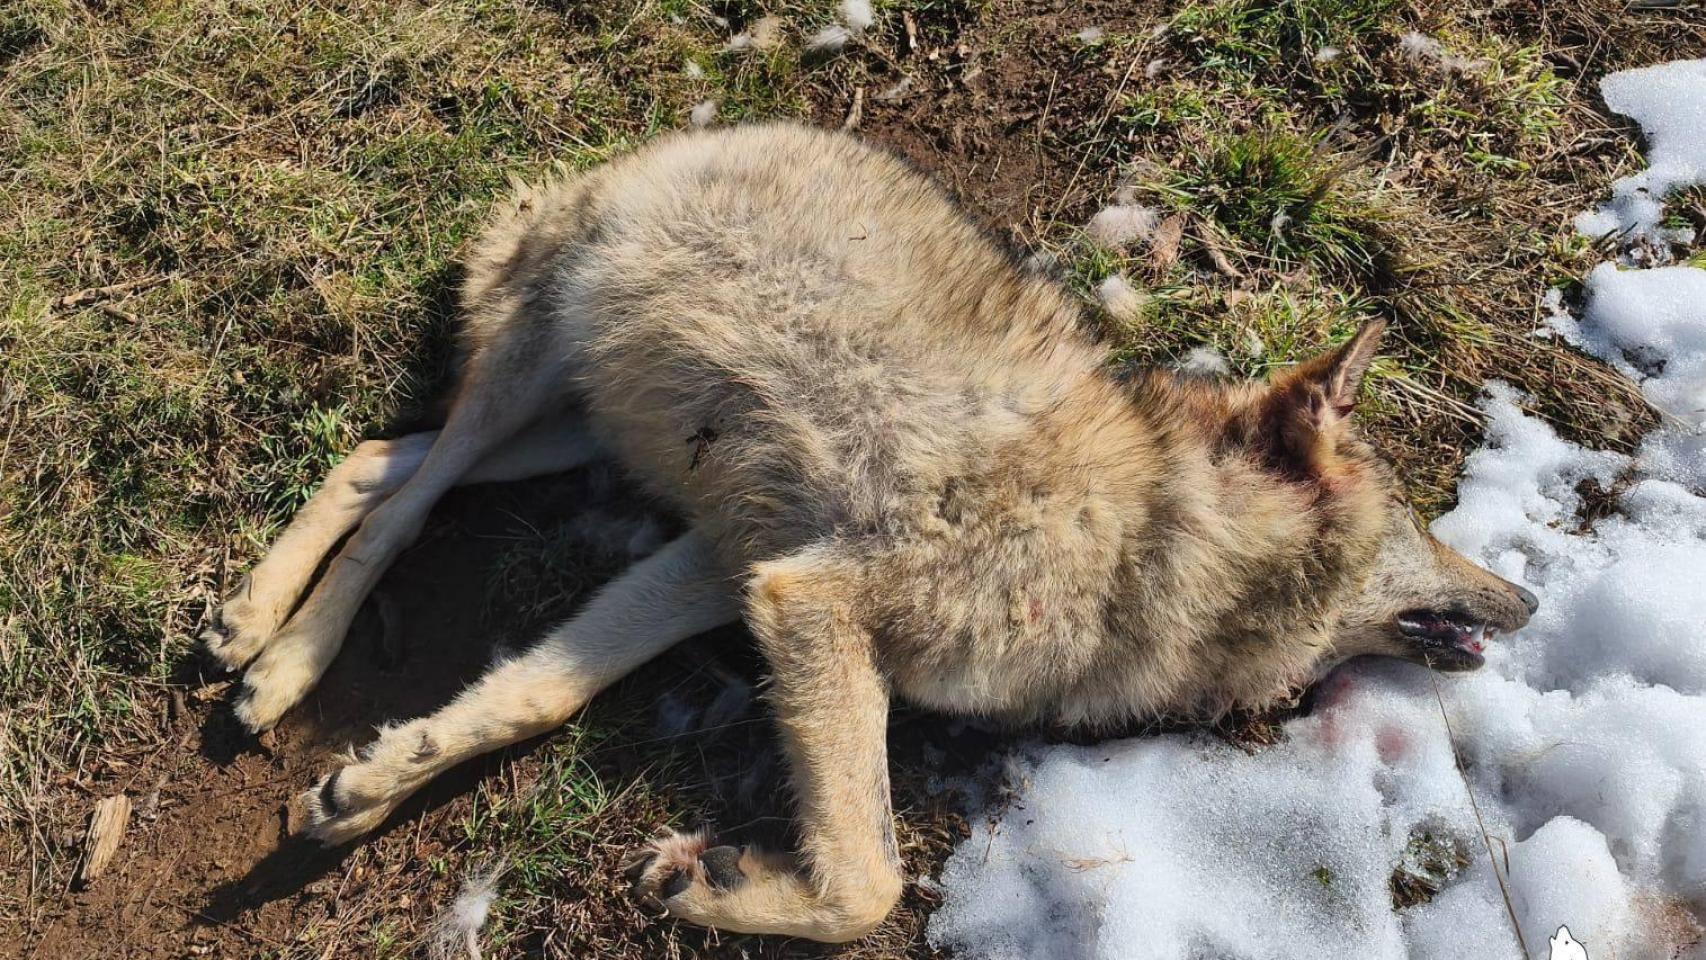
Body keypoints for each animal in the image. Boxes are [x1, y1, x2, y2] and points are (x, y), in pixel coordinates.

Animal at [202, 122, 1537, 941]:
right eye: (1420, 526)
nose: (1529, 601)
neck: (1143, 538)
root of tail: (694, 137)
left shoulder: (730, 566)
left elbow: (531, 695)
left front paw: (374, 783)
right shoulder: (811, 602)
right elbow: (868, 883)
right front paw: (711, 889)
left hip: (577, 432)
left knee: (375, 461)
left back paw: (257, 633)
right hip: (531, 383)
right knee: (407, 496)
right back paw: (279, 663)